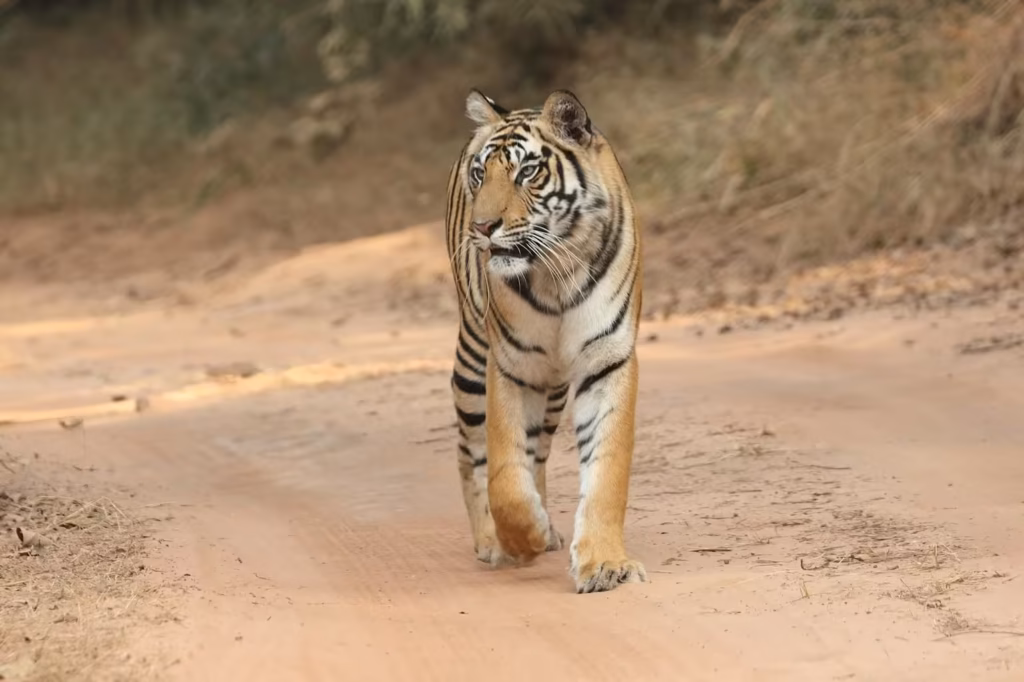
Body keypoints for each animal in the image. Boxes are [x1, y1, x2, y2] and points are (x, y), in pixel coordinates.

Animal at [444, 88, 647, 594]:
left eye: (526, 172)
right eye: (481, 174)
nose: (482, 227)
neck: (557, 274)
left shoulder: (607, 361)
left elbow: (606, 470)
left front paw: (606, 565)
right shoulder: (510, 366)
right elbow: (505, 477)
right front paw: (524, 536)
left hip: (553, 386)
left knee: (537, 451)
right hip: (472, 360)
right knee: (470, 452)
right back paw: (492, 541)